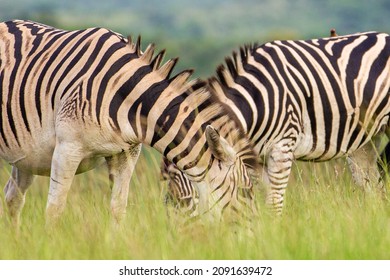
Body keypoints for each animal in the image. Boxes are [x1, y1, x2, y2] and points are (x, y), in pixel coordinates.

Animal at [0, 19, 258, 226]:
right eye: (245, 191)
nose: (256, 239)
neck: (128, 96)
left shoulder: (126, 153)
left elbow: (118, 209)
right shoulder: (67, 148)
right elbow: (54, 210)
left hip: (27, 155)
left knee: (13, 197)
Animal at [161, 30, 390, 214]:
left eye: (189, 197)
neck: (256, 101)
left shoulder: (283, 148)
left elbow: (274, 203)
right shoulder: (255, 159)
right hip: (365, 142)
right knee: (373, 188)